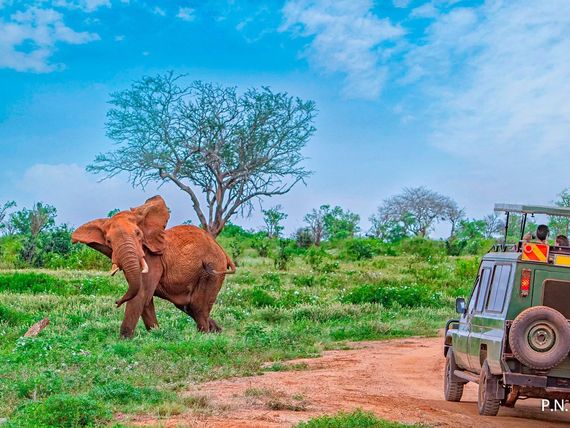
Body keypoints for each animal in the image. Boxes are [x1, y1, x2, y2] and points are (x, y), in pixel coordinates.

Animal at [71, 195, 235, 338]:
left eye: (138, 234)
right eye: (109, 241)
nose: (117, 302)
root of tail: (223, 252)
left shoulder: (153, 260)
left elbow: (141, 294)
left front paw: (124, 340)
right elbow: (145, 299)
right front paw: (155, 333)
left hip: (213, 269)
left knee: (198, 306)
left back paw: (205, 335)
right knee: (188, 306)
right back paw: (217, 331)